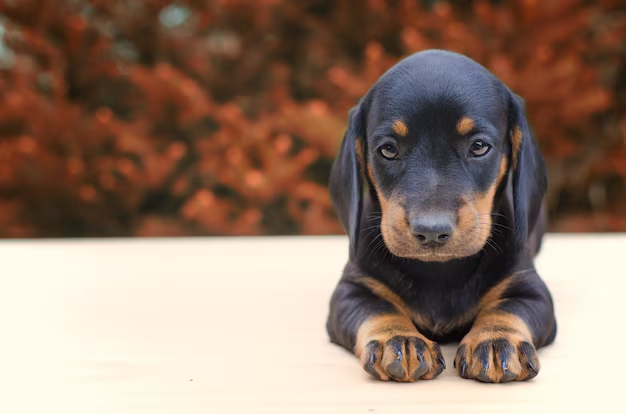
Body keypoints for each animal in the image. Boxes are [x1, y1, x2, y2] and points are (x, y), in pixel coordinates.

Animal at [326, 50, 556, 384]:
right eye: (388, 150)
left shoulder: (530, 288)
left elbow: (509, 308)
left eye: (479, 146)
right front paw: (398, 340)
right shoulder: (351, 290)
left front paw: (496, 340)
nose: (431, 231)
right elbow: (378, 309)